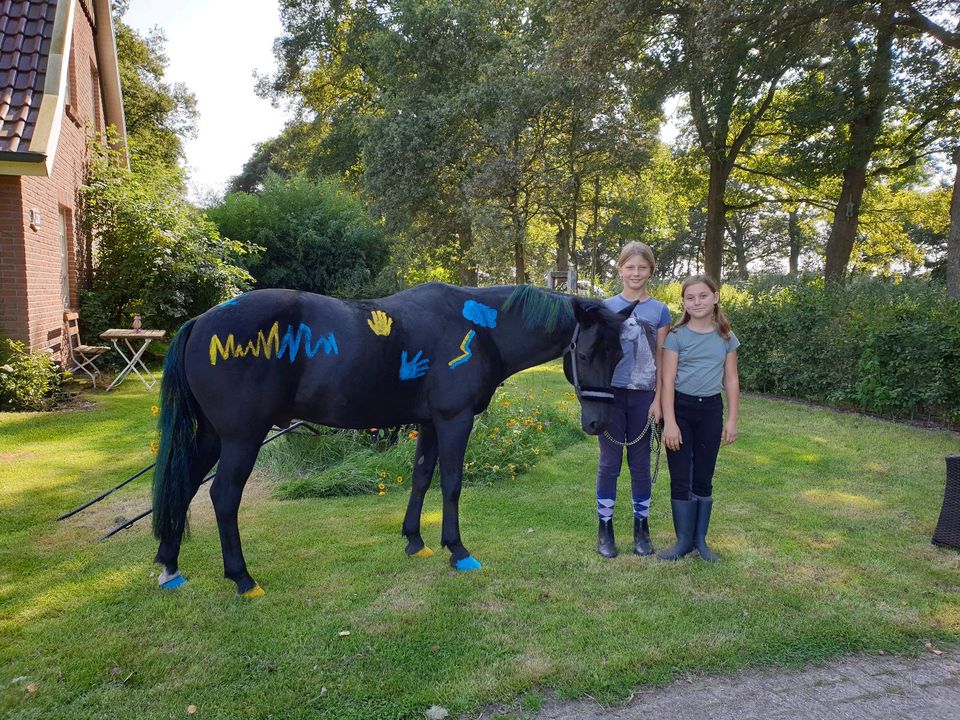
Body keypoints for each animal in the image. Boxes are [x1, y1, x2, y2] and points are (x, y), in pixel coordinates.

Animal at [154, 282, 632, 596]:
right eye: (587, 352)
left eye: (620, 354)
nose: (597, 423)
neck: (481, 328)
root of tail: (201, 322)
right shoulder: (454, 421)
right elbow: (452, 484)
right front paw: (458, 550)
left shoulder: (429, 423)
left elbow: (421, 478)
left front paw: (414, 541)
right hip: (241, 438)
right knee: (222, 496)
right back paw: (242, 578)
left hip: (213, 438)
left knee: (184, 487)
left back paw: (169, 567)